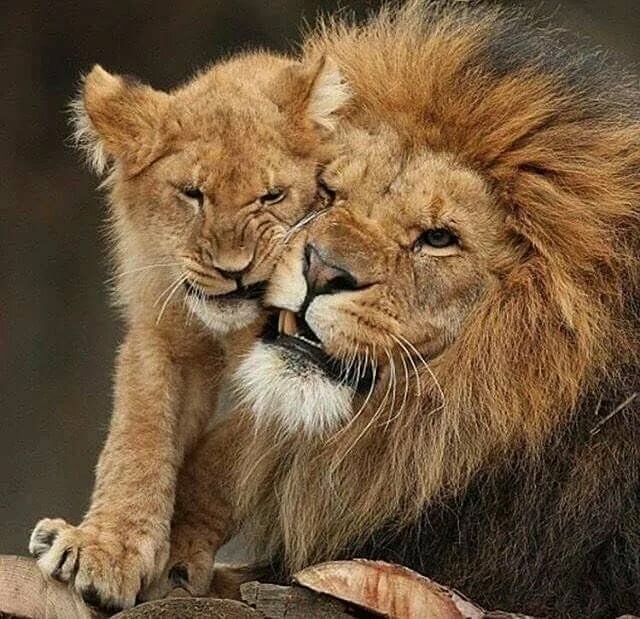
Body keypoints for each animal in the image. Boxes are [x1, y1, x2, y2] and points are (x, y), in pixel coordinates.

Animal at [27, 51, 349, 611]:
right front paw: (105, 549)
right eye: (193, 194)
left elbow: (220, 462)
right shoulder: (163, 334)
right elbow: (138, 437)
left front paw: (176, 560)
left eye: (272, 196)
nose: (233, 270)